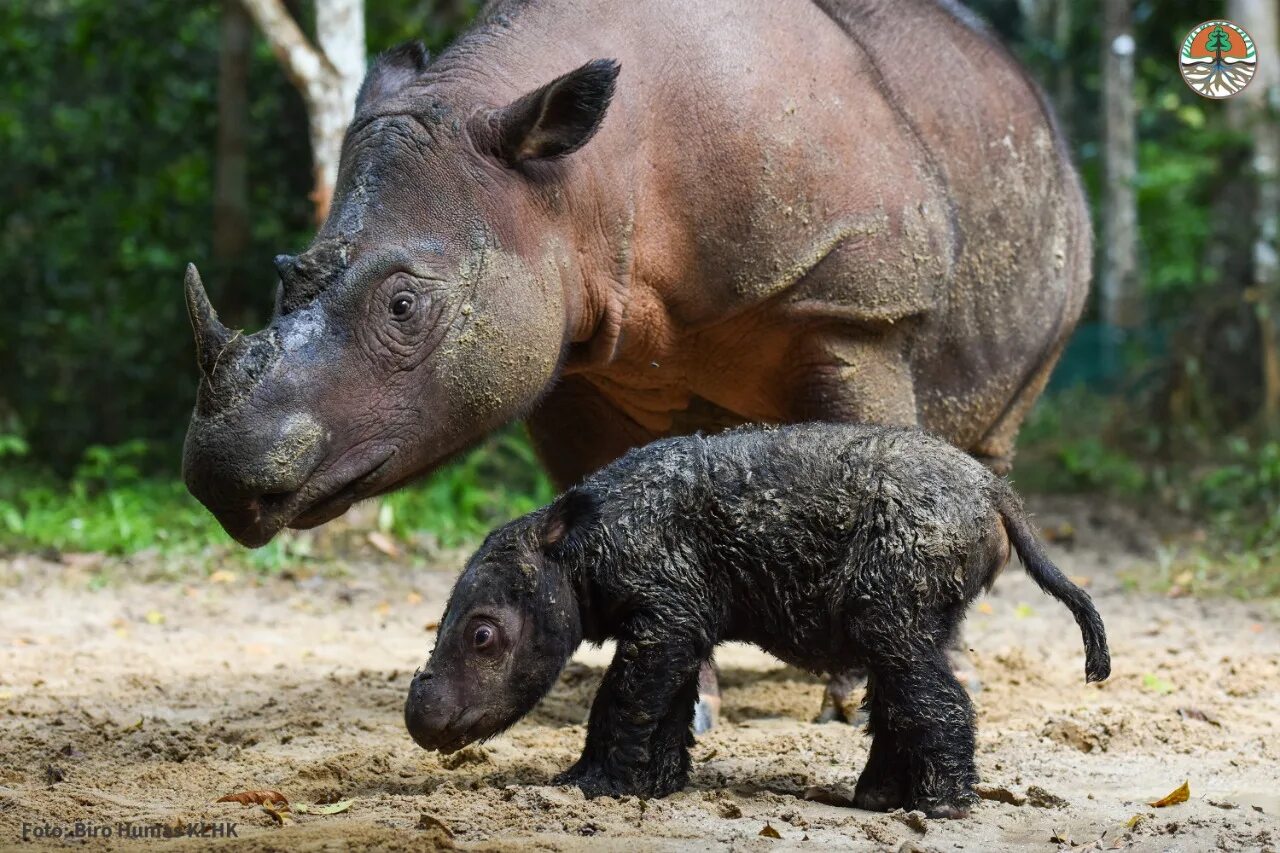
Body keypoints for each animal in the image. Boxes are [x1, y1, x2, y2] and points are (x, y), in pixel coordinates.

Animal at [404, 422, 1105, 814]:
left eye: (482, 635)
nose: (420, 717)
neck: (581, 545)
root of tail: (997, 495)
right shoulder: (681, 622)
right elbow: (667, 707)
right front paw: (655, 787)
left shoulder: (661, 618)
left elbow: (620, 701)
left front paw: (591, 786)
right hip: (908, 616)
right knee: (900, 691)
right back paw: (879, 800)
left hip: (889, 607)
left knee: (932, 693)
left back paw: (942, 808)